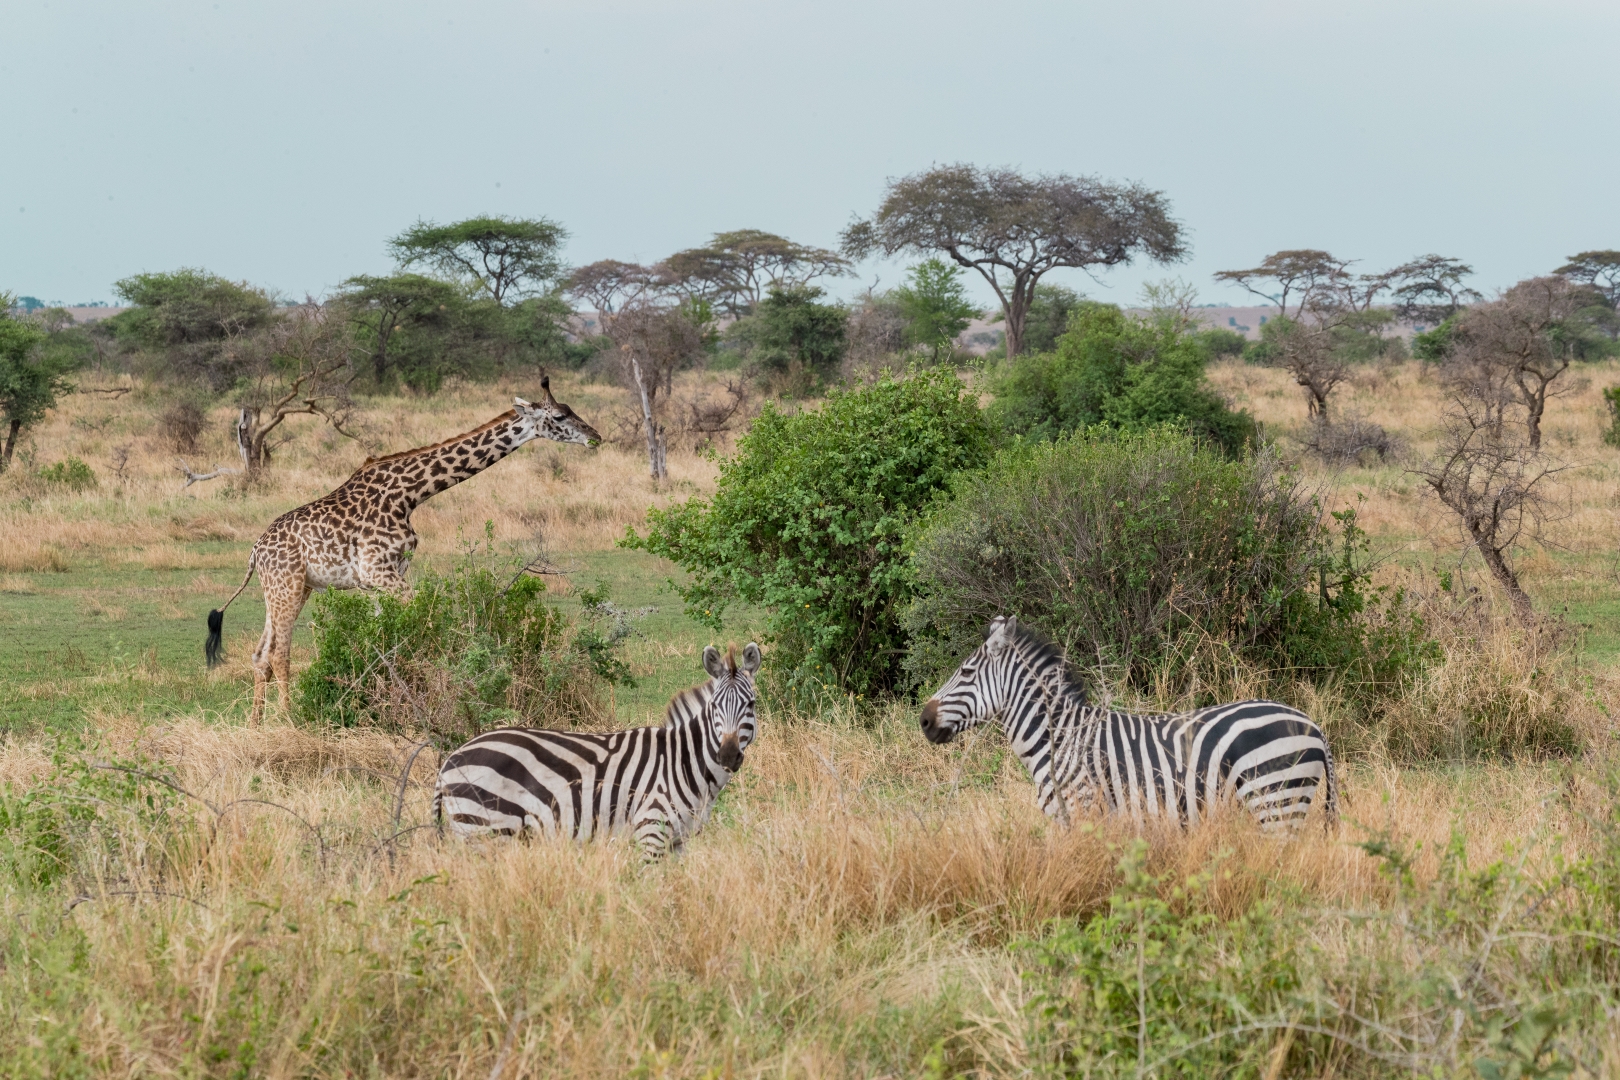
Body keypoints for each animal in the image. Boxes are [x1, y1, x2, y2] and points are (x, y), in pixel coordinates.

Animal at [207, 380, 602, 725]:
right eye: (560, 416)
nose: (595, 437)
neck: (411, 494)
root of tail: (256, 550)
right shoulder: (376, 572)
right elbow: (423, 623)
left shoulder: (387, 576)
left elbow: (386, 641)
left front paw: (385, 705)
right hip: (286, 586)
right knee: (279, 654)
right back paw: (290, 721)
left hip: (291, 587)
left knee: (261, 655)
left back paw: (255, 725)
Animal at [430, 641, 758, 861]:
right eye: (715, 706)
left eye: (751, 704)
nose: (728, 756)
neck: (684, 762)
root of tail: (450, 759)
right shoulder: (650, 831)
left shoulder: (678, 841)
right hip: (484, 831)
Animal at [920, 615, 1334, 835]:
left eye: (966, 673)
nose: (923, 721)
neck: (1060, 742)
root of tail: (1313, 725)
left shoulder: (1083, 812)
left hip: (1276, 803)